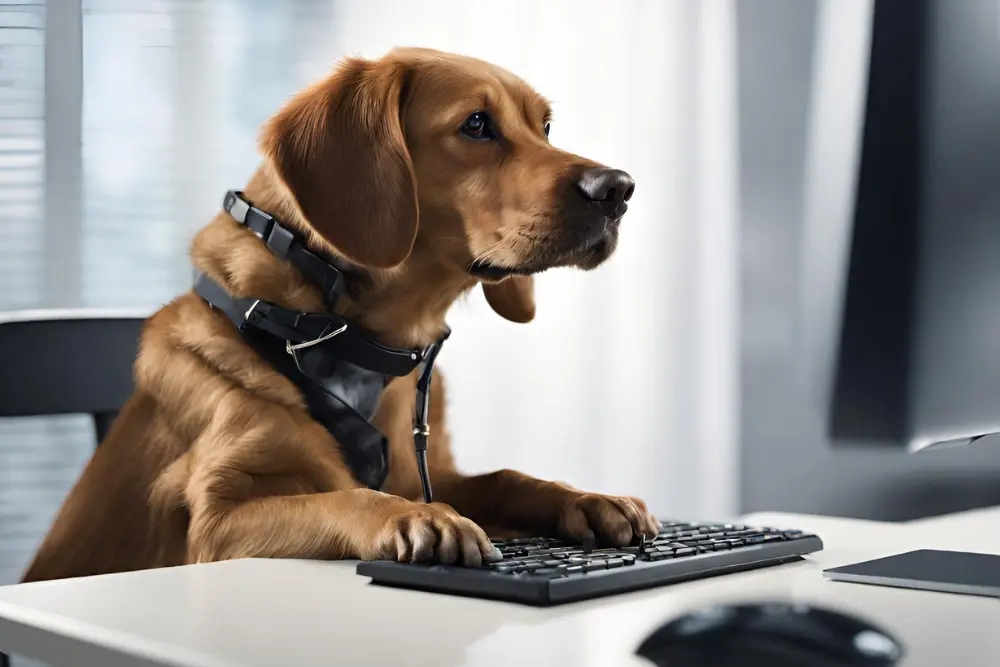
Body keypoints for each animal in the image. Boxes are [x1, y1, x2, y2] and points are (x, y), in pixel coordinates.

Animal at [23, 47, 652, 580]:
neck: (354, 340)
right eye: (476, 124)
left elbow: (506, 477)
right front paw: (415, 517)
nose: (619, 189)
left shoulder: (432, 473)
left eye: (544, 127)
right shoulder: (215, 523)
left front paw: (585, 497)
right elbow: (343, 496)